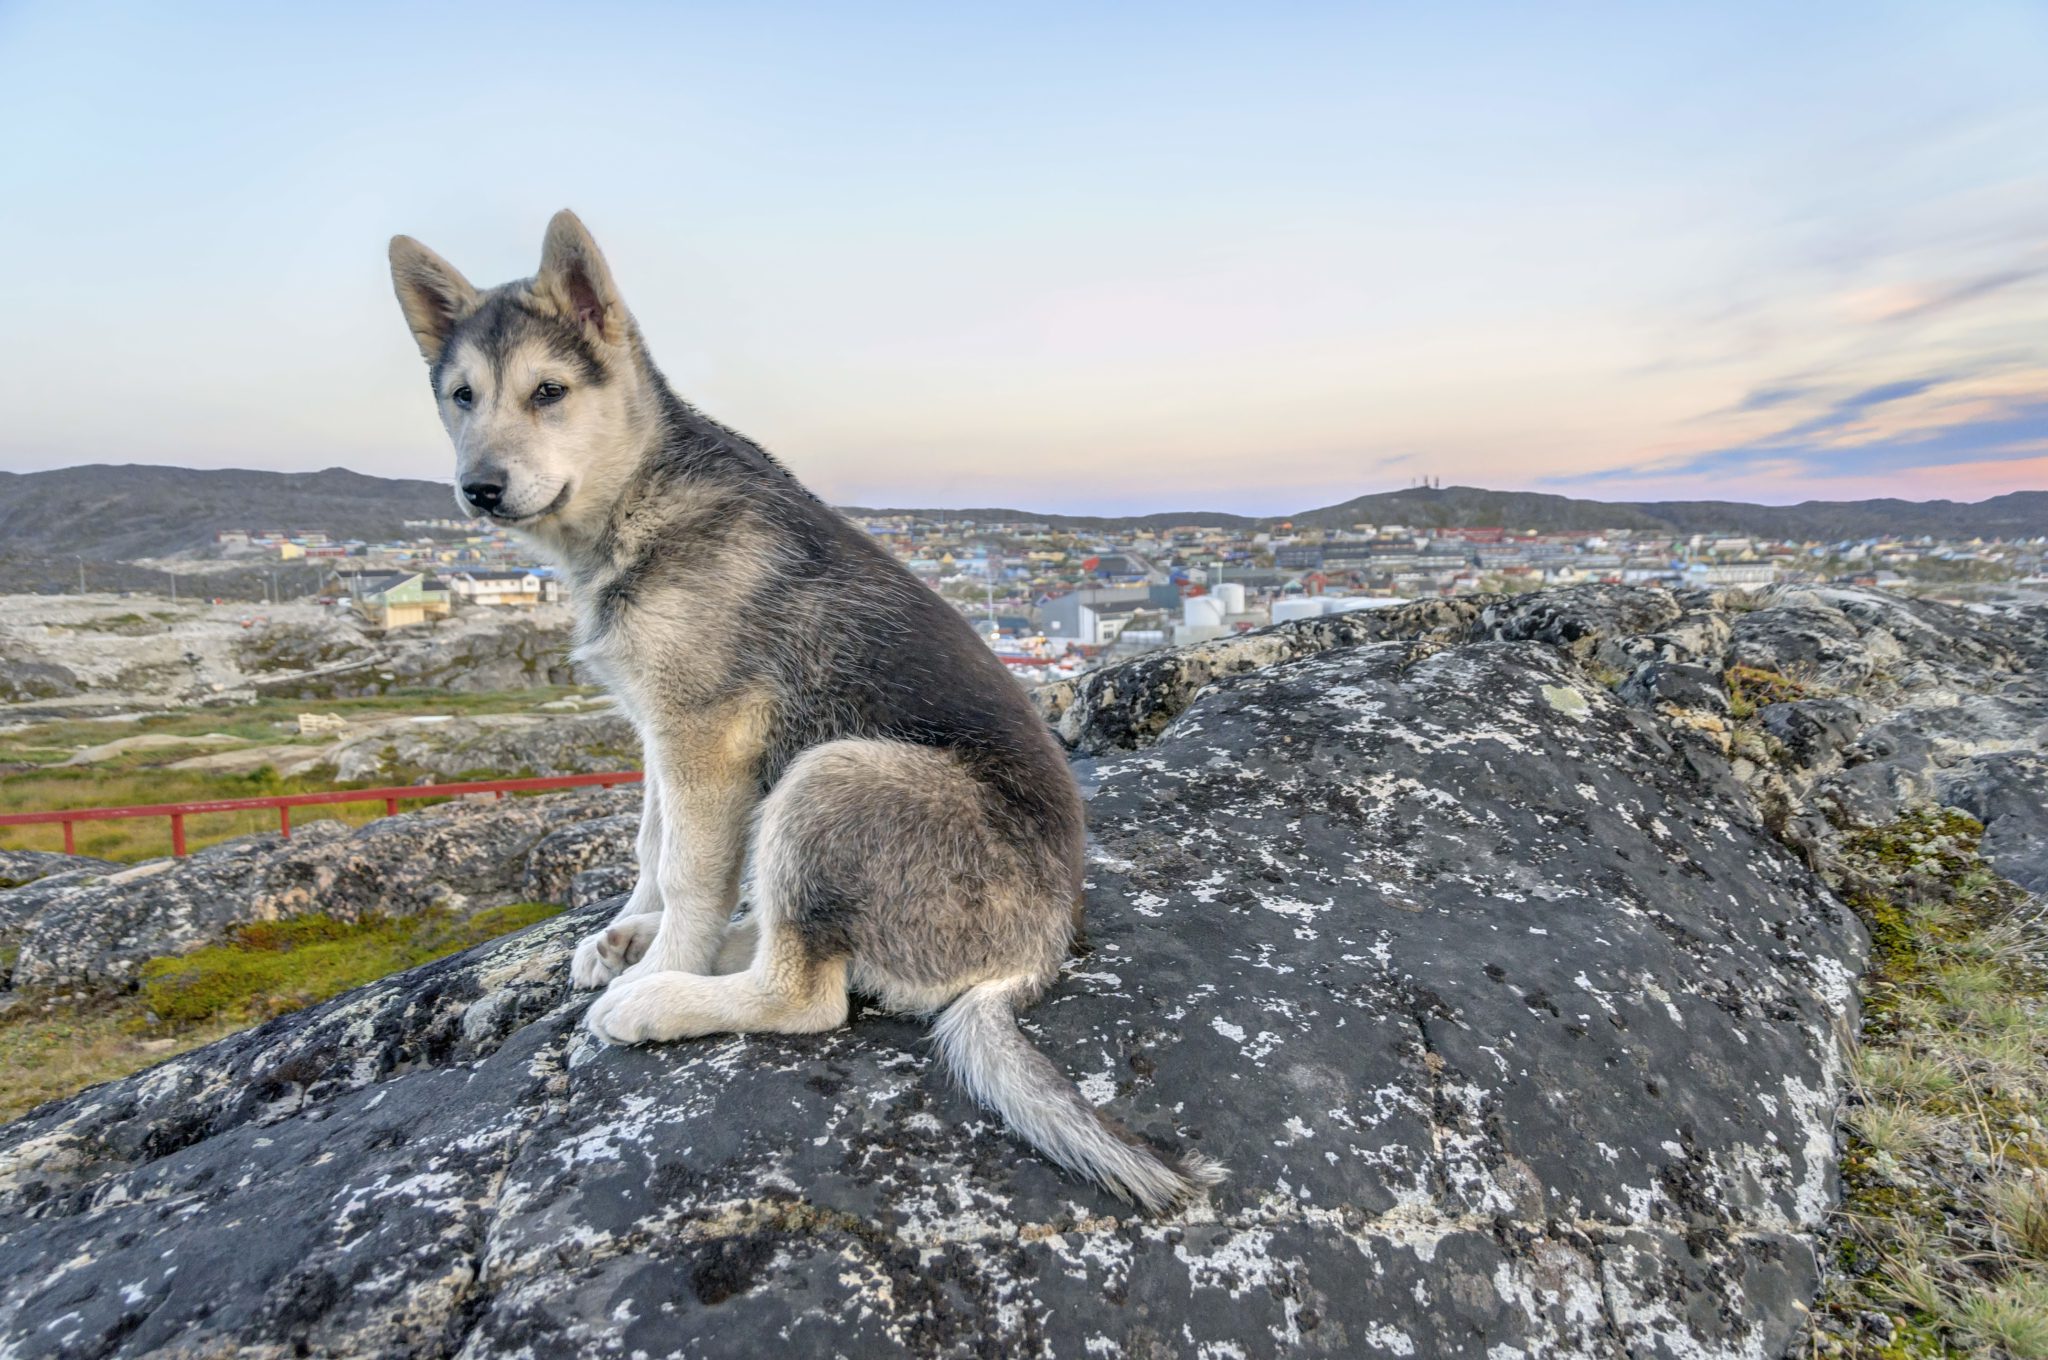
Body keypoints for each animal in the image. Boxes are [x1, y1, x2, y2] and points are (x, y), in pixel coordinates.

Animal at [387, 213, 1212, 1212]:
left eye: (548, 392)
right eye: (461, 397)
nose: (479, 487)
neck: (638, 497)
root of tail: (1034, 958)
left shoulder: (702, 734)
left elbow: (690, 873)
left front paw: (661, 961)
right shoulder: (659, 728)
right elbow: (653, 846)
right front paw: (632, 925)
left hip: (832, 776)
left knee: (805, 993)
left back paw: (659, 997)